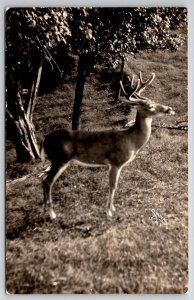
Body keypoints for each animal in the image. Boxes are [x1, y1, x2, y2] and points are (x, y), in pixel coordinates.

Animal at [40, 71, 175, 219]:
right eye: (150, 106)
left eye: (155, 101)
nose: (169, 109)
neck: (131, 140)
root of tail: (44, 139)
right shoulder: (115, 162)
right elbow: (113, 186)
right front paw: (109, 212)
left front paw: (112, 209)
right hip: (60, 159)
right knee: (47, 181)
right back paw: (52, 214)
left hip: (56, 161)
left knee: (43, 179)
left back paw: (45, 210)